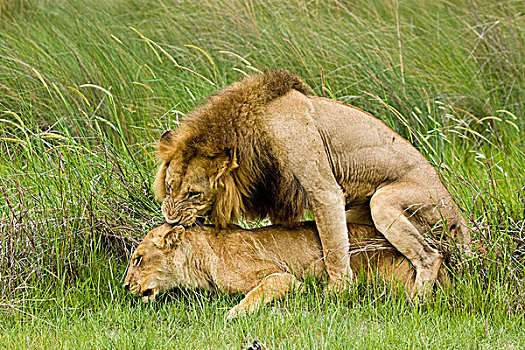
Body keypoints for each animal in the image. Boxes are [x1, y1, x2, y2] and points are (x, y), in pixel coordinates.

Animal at [154, 68, 468, 296]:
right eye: (169, 187)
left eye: (194, 194)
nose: (170, 219)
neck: (252, 130)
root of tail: (461, 219)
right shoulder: (280, 196)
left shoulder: (323, 189)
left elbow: (332, 247)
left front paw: (337, 291)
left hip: (390, 202)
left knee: (431, 255)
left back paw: (417, 301)